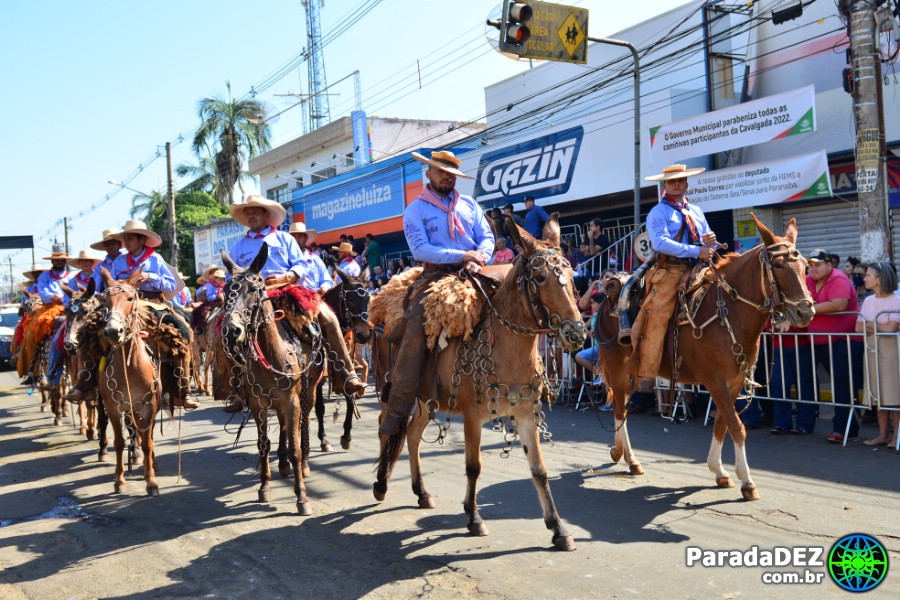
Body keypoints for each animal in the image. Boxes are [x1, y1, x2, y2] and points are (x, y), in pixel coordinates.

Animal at [98, 270, 163, 494]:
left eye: (129, 299)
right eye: (104, 301)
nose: (112, 331)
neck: (131, 367)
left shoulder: (148, 406)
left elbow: (147, 442)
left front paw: (151, 481)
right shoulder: (113, 407)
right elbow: (119, 442)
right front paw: (119, 480)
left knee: (147, 436)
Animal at [220, 244, 322, 516]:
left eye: (254, 289)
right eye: (225, 291)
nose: (231, 331)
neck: (272, 352)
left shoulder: (292, 401)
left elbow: (296, 446)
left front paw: (302, 497)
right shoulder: (259, 404)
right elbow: (263, 443)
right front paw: (264, 486)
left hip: (309, 391)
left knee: (303, 423)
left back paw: (302, 464)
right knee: (285, 428)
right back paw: (283, 463)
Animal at [316, 268, 372, 450]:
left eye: (368, 298)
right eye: (351, 299)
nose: (364, 334)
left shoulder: (345, 370)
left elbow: (349, 400)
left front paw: (347, 435)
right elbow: (319, 407)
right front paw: (324, 439)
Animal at [370, 216, 584, 552]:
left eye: (572, 274)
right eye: (539, 277)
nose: (576, 333)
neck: (507, 348)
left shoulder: (526, 415)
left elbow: (539, 470)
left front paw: (558, 528)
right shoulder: (473, 416)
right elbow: (473, 466)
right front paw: (474, 518)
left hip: (424, 400)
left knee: (412, 435)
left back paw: (421, 492)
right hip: (391, 388)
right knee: (387, 427)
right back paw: (380, 483)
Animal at [596, 213, 816, 500]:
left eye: (804, 266)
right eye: (778, 265)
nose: (805, 311)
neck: (729, 312)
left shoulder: (733, 384)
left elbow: (722, 424)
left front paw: (719, 471)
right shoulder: (716, 382)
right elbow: (737, 427)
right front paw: (747, 481)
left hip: (634, 372)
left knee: (621, 407)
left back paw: (618, 451)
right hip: (618, 369)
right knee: (620, 408)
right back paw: (630, 459)